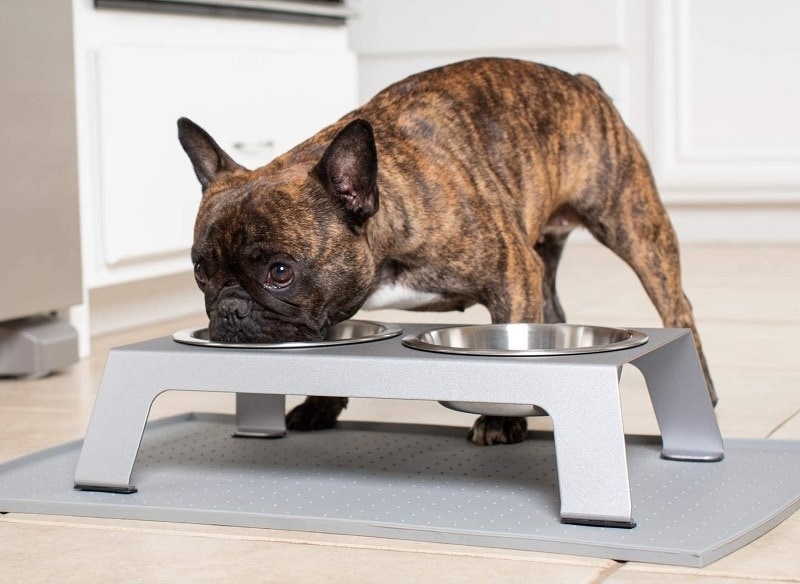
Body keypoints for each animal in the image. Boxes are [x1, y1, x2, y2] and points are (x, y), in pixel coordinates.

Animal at [178, 57, 716, 444]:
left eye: (280, 271)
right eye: (200, 271)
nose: (229, 309)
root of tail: (585, 83)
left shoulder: (510, 274)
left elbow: (508, 353)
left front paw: (501, 421)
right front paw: (319, 405)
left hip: (634, 227)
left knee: (678, 307)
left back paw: (704, 389)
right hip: (547, 257)